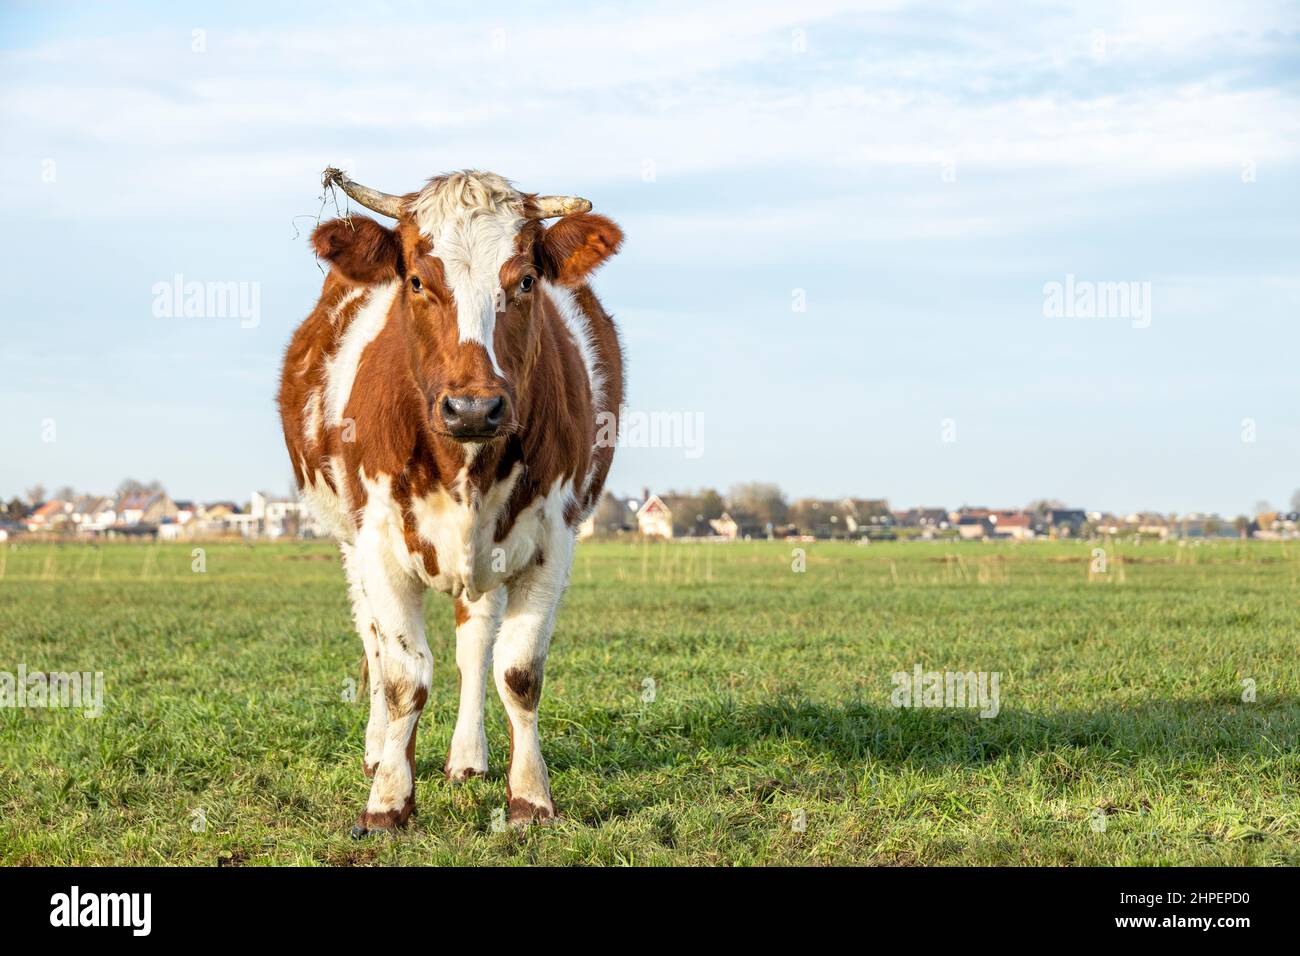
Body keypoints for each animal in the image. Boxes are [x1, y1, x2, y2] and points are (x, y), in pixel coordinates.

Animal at [278, 168, 624, 836]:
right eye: (417, 280)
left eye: (525, 280)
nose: (473, 408)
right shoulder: (378, 541)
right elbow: (403, 676)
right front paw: (388, 800)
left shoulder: (552, 539)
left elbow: (517, 672)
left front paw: (530, 798)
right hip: (349, 543)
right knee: (374, 640)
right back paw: (376, 750)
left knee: (474, 647)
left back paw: (467, 758)